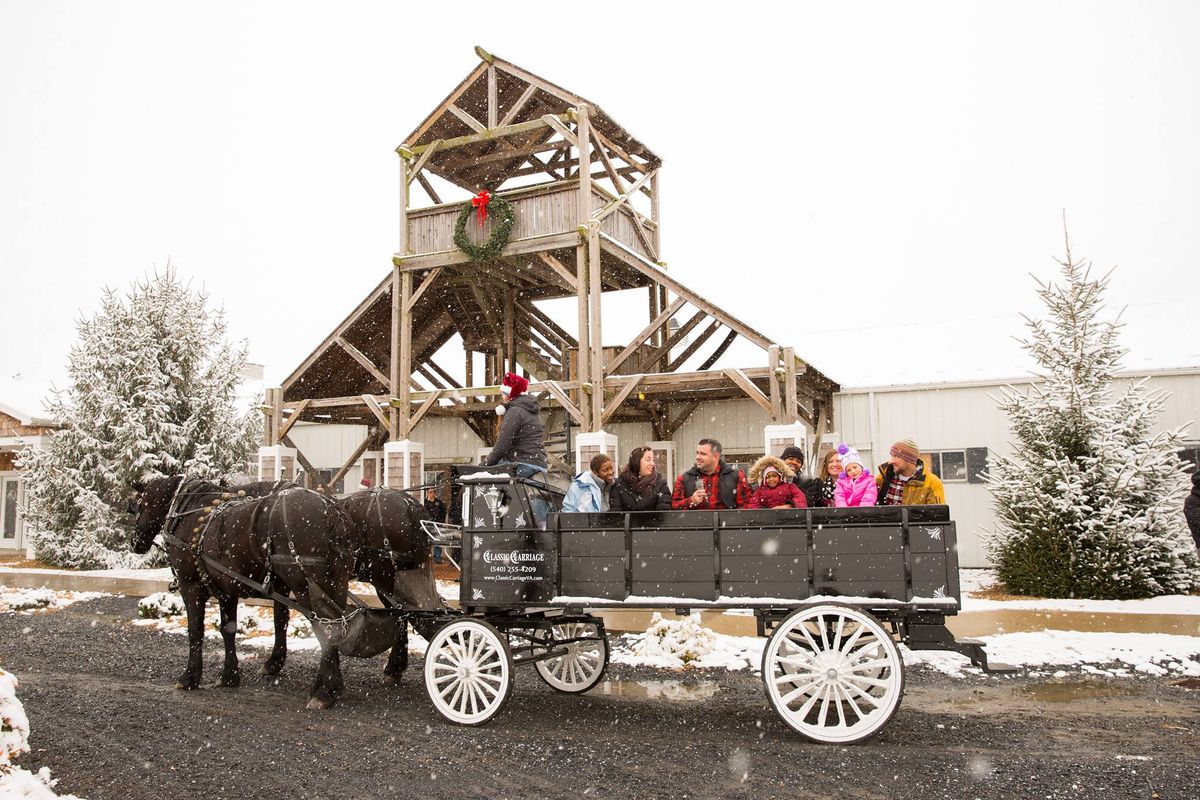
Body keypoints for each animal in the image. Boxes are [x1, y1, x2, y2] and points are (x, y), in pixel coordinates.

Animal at [130, 474, 357, 705]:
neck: (191, 512)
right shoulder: (226, 590)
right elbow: (229, 630)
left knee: (326, 629)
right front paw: (229, 676)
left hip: (306, 589)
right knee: (338, 627)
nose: (136, 541)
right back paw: (331, 685)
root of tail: (331, 510)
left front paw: (190, 677)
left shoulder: (190, 585)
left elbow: (195, 631)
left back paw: (324, 691)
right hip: (336, 584)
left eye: (140, 503)